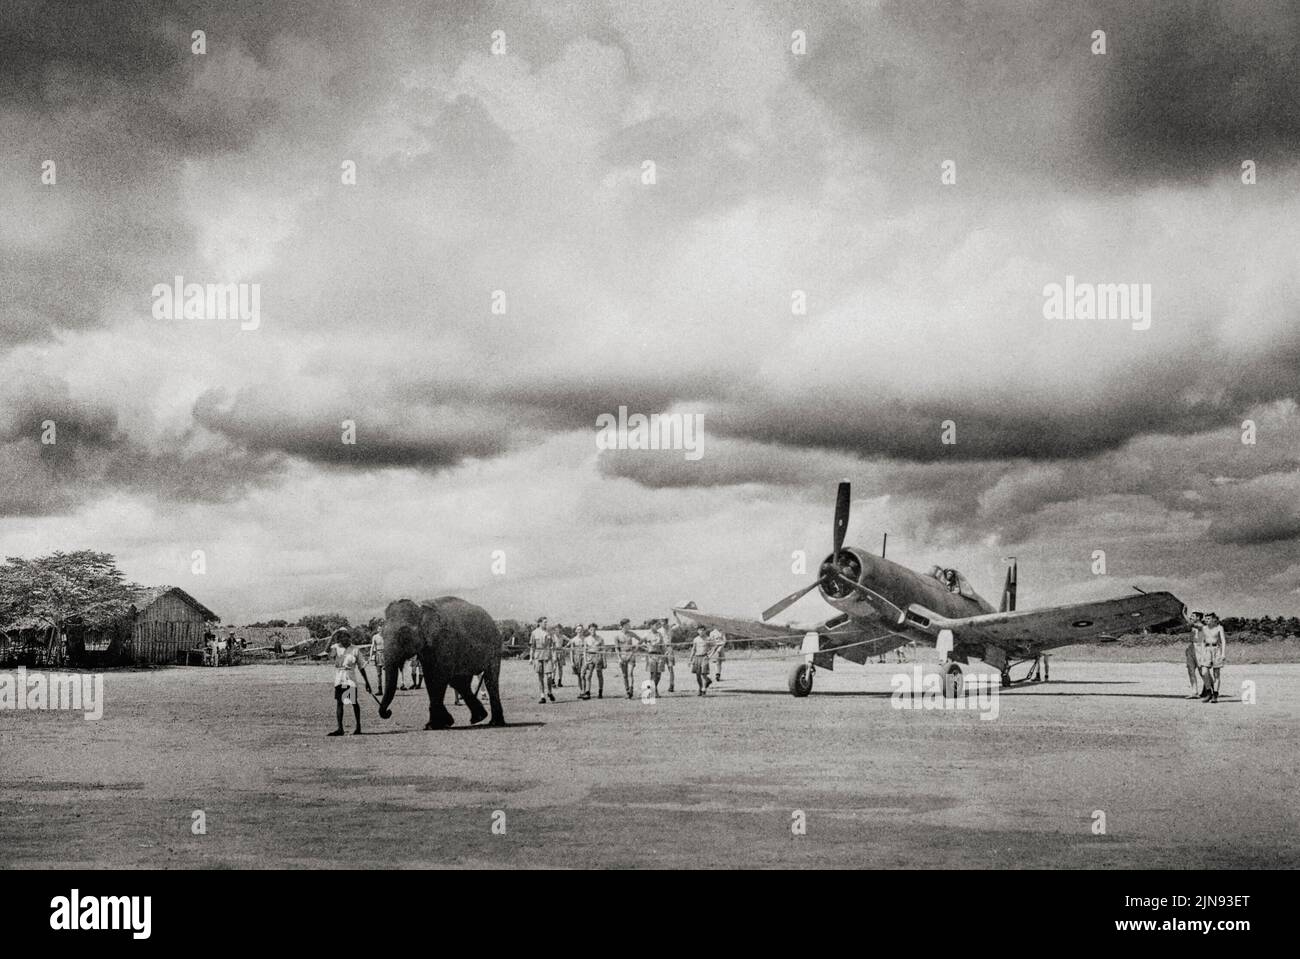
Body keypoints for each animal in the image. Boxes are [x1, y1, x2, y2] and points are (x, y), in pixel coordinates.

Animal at [374, 595, 504, 727]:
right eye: (382, 634)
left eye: (404, 635)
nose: (388, 712)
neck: (421, 610)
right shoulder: (428, 648)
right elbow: (430, 676)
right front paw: (442, 723)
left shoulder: (444, 641)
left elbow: (439, 676)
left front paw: (435, 725)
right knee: (460, 682)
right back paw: (478, 718)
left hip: (494, 647)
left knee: (490, 679)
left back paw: (494, 723)